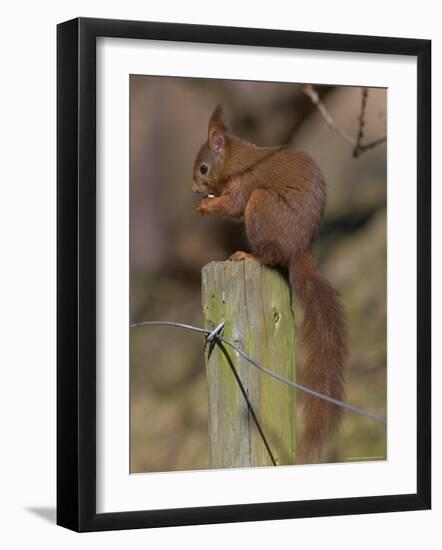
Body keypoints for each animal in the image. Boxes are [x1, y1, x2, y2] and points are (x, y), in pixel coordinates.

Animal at [193, 105, 348, 464]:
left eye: (204, 167)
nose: (194, 188)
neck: (237, 161)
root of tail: (299, 249)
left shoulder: (244, 185)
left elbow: (233, 206)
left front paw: (207, 205)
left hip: (261, 204)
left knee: (271, 255)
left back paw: (249, 255)